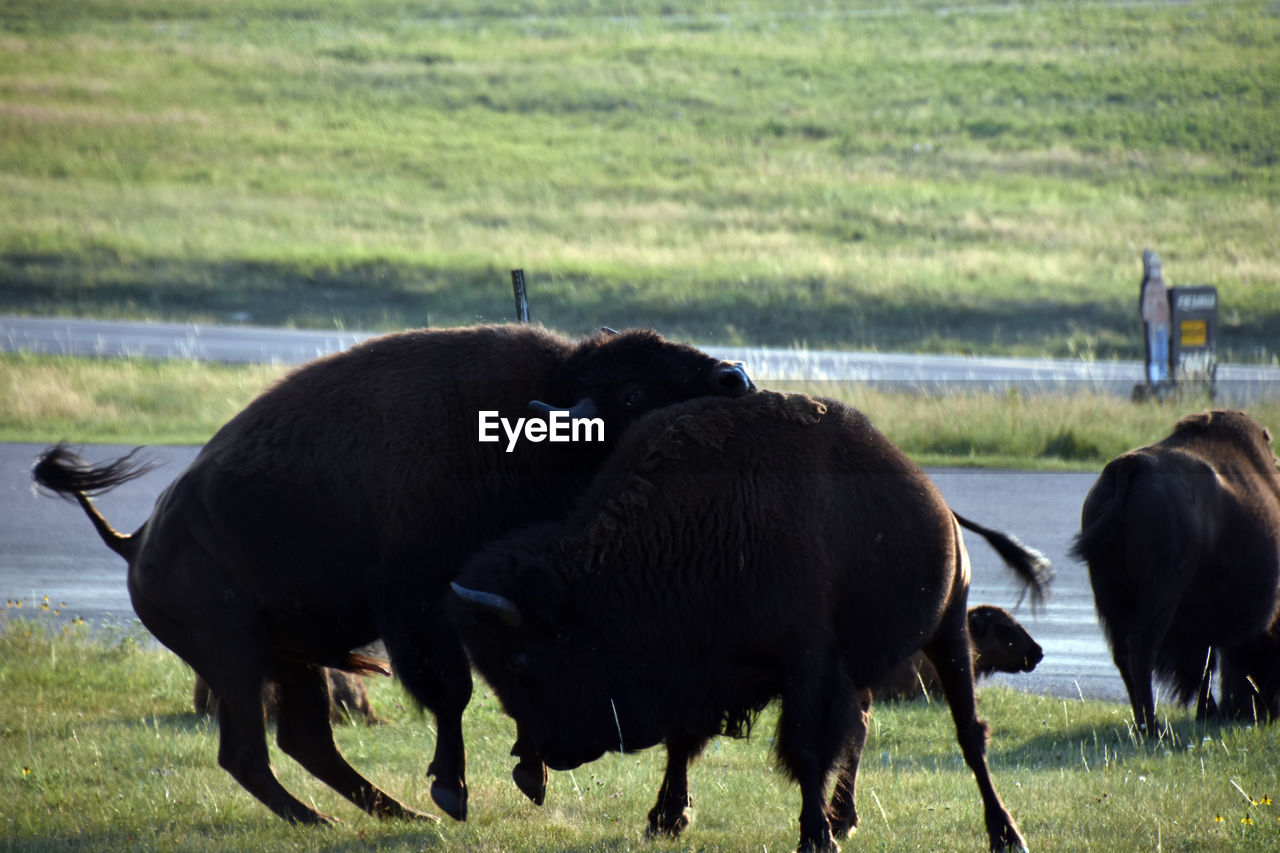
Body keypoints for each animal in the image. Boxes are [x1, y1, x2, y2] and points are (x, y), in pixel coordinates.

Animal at [30, 320, 752, 824]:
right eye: (632, 390)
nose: (735, 379)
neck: (531, 421)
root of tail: (137, 541)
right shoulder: (420, 608)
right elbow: (454, 691)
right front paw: (454, 790)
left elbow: (515, 679)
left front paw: (527, 775)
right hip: (234, 655)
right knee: (248, 751)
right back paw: (326, 821)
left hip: (291, 657)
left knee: (303, 740)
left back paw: (392, 814)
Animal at [1070, 407, 1280, 732]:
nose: (1268, 712)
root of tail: (1129, 466)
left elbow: (1207, 662)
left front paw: (1208, 712)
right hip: (1161, 593)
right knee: (1141, 648)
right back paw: (1154, 728)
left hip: (1109, 592)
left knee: (1123, 655)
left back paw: (1144, 724)